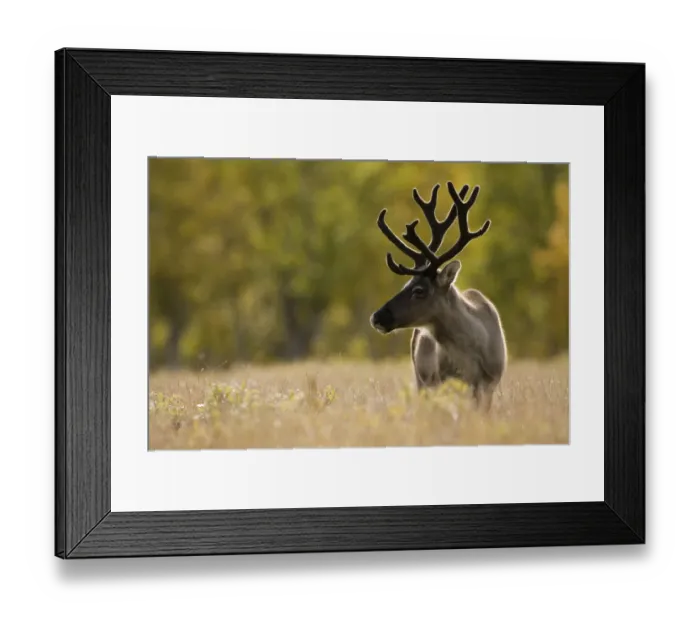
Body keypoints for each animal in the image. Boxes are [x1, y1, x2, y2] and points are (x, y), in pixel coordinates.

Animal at [369, 181, 507, 411]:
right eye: (406, 284)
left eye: (419, 290)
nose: (376, 317)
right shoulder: (443, 380)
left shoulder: (490, 383)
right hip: (423, 380)